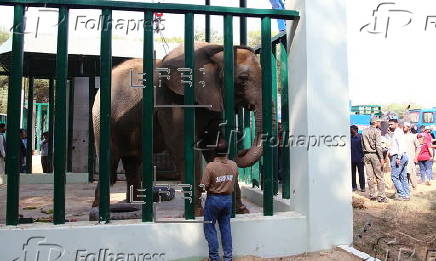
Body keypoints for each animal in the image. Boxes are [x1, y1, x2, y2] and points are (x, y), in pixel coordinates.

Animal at [91, 41, 262, 214]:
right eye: (243, 78)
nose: (242, 150)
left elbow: (213, 145)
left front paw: (242, 211)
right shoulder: (173, 103)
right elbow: (181, 147)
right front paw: (197, 213)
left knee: (132, 161)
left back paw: (136, 205)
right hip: (102, 121)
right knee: (111, 161)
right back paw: (99, 208)